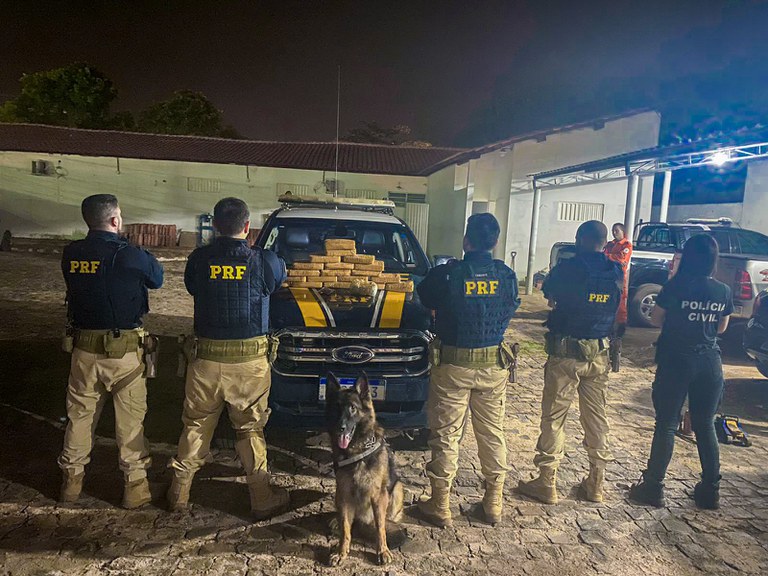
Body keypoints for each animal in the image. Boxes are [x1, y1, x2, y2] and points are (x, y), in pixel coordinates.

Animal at [326, 372, 404, 564]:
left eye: (353, 408)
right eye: (336, 408)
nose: (340, 428)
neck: (357, 449)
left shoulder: (379, 495)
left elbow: (380, 526)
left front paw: (382, 551)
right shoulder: (344, 492)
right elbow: (346, 528)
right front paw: (341, 552)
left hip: (397, 488)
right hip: (338, 494)